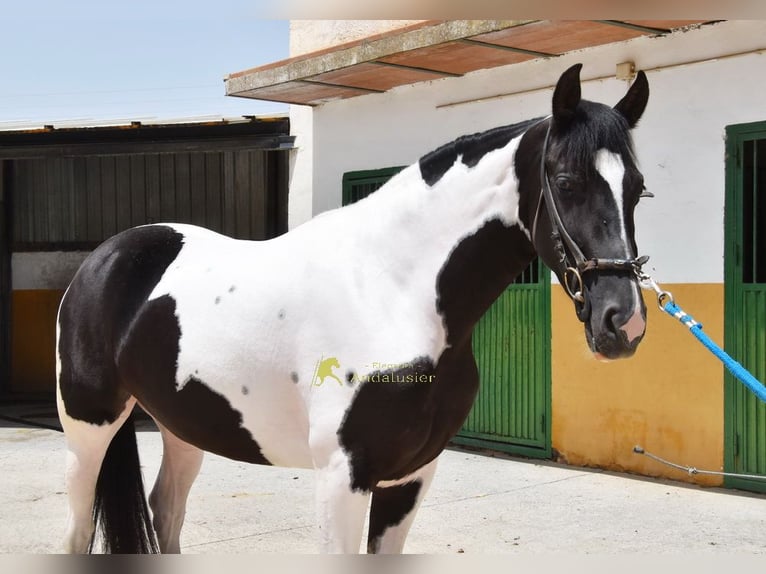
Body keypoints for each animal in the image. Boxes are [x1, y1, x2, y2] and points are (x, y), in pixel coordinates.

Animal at [55, 63, 650, 554]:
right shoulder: (343, 477)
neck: (391, 291)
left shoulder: (411, 477)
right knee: (79, 530)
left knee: (166, 514)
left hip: (183, 426)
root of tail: (103, 259)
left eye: (640, 189)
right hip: (88, 429)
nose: (623, 321)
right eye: (566, 181)